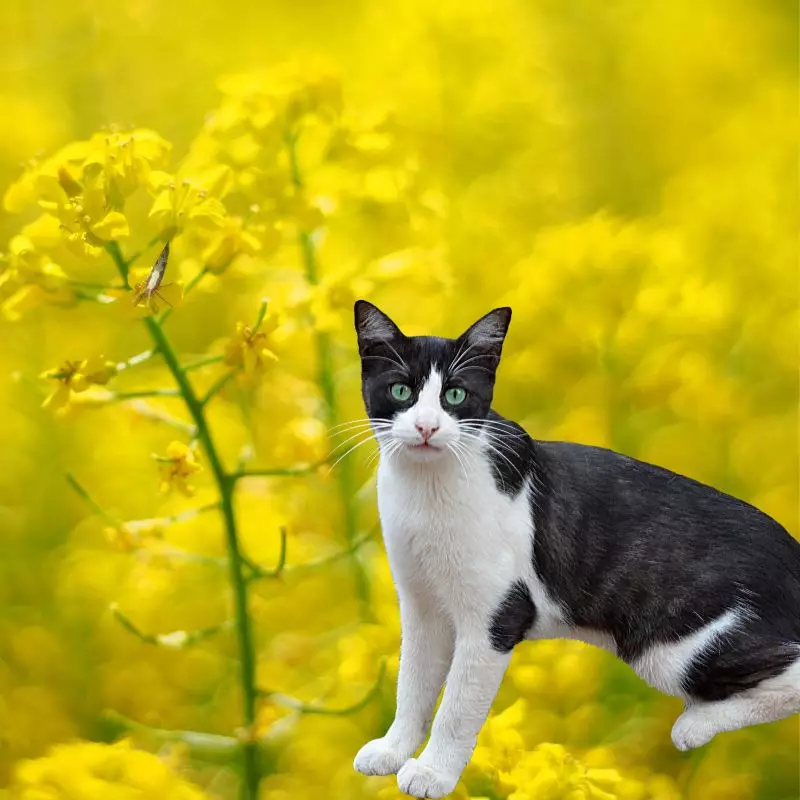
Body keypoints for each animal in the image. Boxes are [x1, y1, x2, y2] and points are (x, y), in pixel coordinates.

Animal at [350, 302, 800, 800]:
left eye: (455, 395)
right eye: (401, 390)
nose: (427, 427)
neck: (427, 489)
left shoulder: (497, 617)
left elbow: (457, 707)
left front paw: (433, 774)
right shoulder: (422, 607)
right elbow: (412, 683)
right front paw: (393, 750)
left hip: (671, 649)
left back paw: (695, 725)